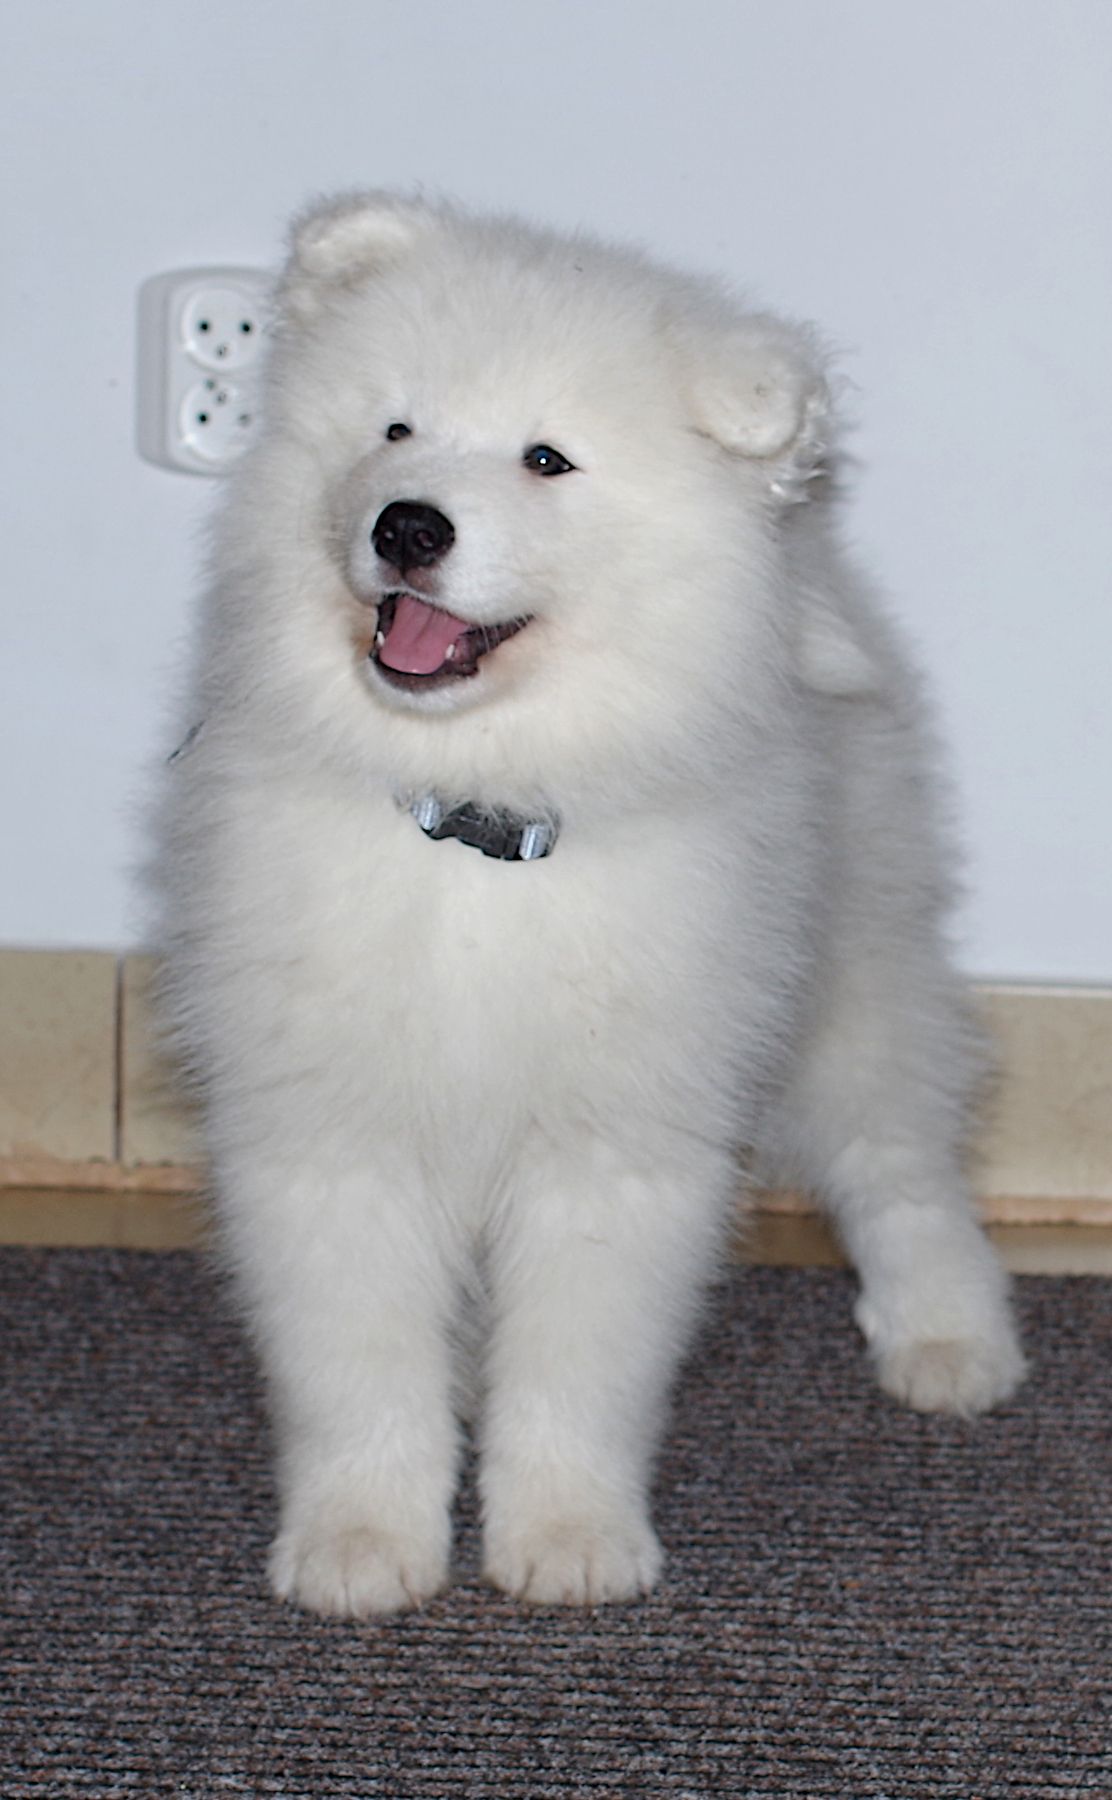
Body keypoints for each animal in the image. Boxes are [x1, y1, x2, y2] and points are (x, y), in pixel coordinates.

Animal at [153, 191, 1025, 1616]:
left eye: (546, 460)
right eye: (392, 429)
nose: (406, 524)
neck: (476, 821)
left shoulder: (614, 1139)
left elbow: (578, 1369)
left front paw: (566, 1539)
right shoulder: (330, 1127)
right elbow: (356, 1366)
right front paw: (361, 1543)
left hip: (852, 948)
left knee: (897, 1148)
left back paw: (948, 1337)